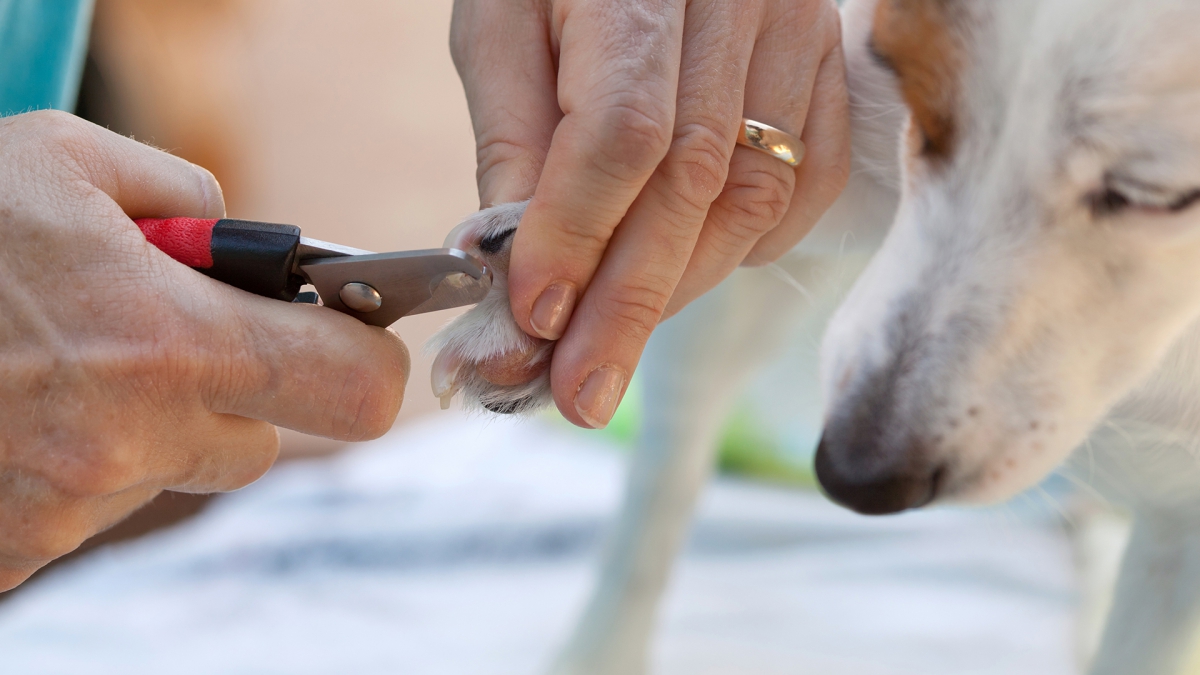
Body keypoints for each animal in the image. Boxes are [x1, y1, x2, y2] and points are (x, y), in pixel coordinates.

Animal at [432, 1, 1200, 672]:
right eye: (919, 100)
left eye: (1159, 195)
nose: (853, 476)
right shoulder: (848, 112)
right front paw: (519, 290)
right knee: (661, 490)